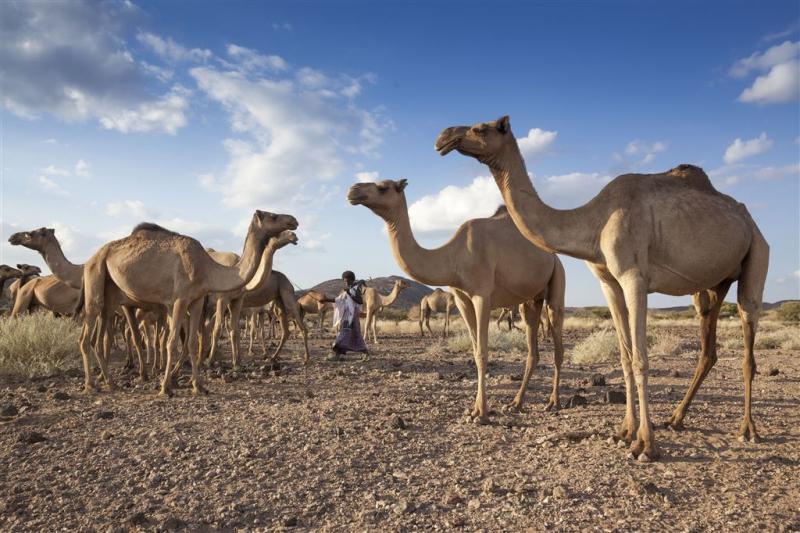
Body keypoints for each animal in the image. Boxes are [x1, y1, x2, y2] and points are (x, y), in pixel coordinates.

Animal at [76, 212, 296, 394]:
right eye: (273, 216)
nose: (293, 222)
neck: (207, 269)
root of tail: (91, 259)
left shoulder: (197, 300)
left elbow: (191, 341)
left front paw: (199, 386)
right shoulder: (180, 299)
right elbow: (172, 341)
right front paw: (165, 387)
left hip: (110, 293)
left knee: (99, 335)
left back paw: (109, 382)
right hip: (95, 277)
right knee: (86, 335)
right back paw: (91, 385)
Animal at [350, 181, 568, 418]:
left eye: (383, 187)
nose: (353, 190)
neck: (453, 257)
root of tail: (553, 256)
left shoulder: (482, 295)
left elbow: (482, 352)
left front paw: (481, 412)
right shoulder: (462, 299)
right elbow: (475, 350)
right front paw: (476, 408)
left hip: (557, 278)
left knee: (558, 341)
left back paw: (553, 401)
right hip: (529, 300)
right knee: (532, 347)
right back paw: (516, 402)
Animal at [438, 114, 768, 460]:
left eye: (480, 128)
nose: (443, 137)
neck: (595, 222)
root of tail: (748, 218)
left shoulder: (634, 277)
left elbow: (640, 359)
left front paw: (645, 444)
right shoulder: (609, 283)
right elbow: (624, 356)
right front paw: (624, 431)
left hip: (757, 252)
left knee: (748, 334)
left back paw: (748, 429)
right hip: (712, 285)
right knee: (708, 344)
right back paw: (676, 418)